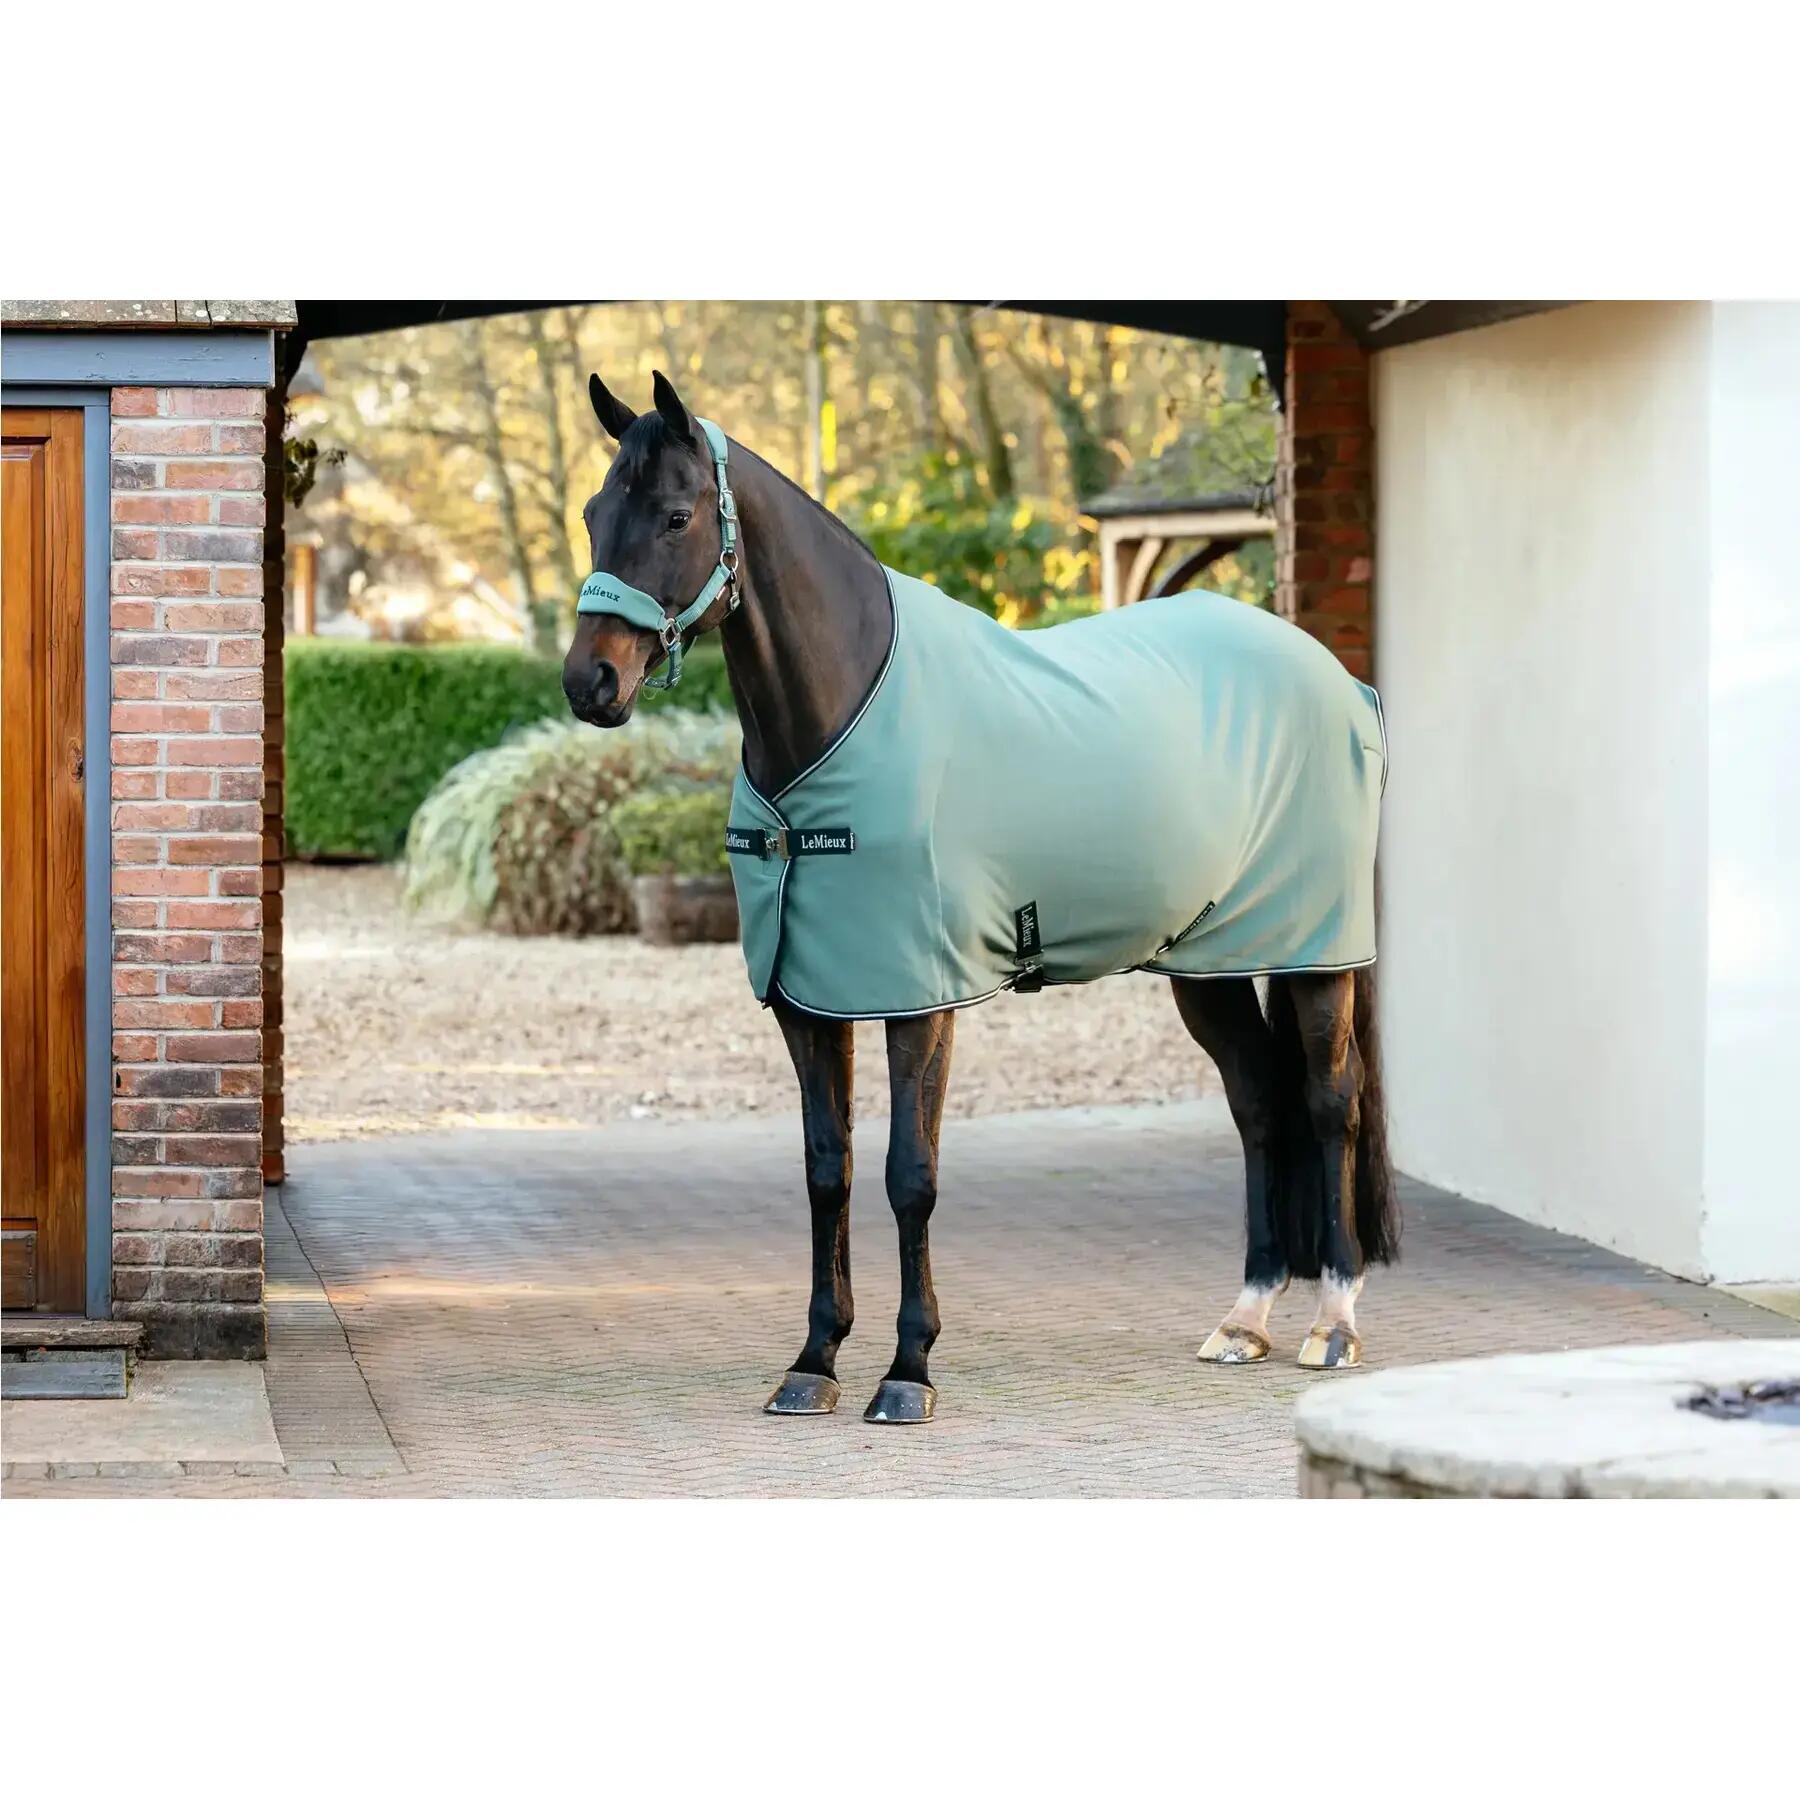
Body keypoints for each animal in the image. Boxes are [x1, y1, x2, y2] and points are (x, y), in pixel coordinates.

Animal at [563, 370, 1399, 1425]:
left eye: (676, 516)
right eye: (594, 515)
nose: (589, 682)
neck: (841, 716)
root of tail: (1337, 677)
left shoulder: (920, 997)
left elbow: (908, 1176)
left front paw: (907, 1369)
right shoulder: (809, 998)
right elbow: (827, 1171)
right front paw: (813, 1360)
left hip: (1317, 953)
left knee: (1331, 1105)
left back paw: (1334, 1323)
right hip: (1205, 963)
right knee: (1258, 1102)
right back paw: (1244, 1320)